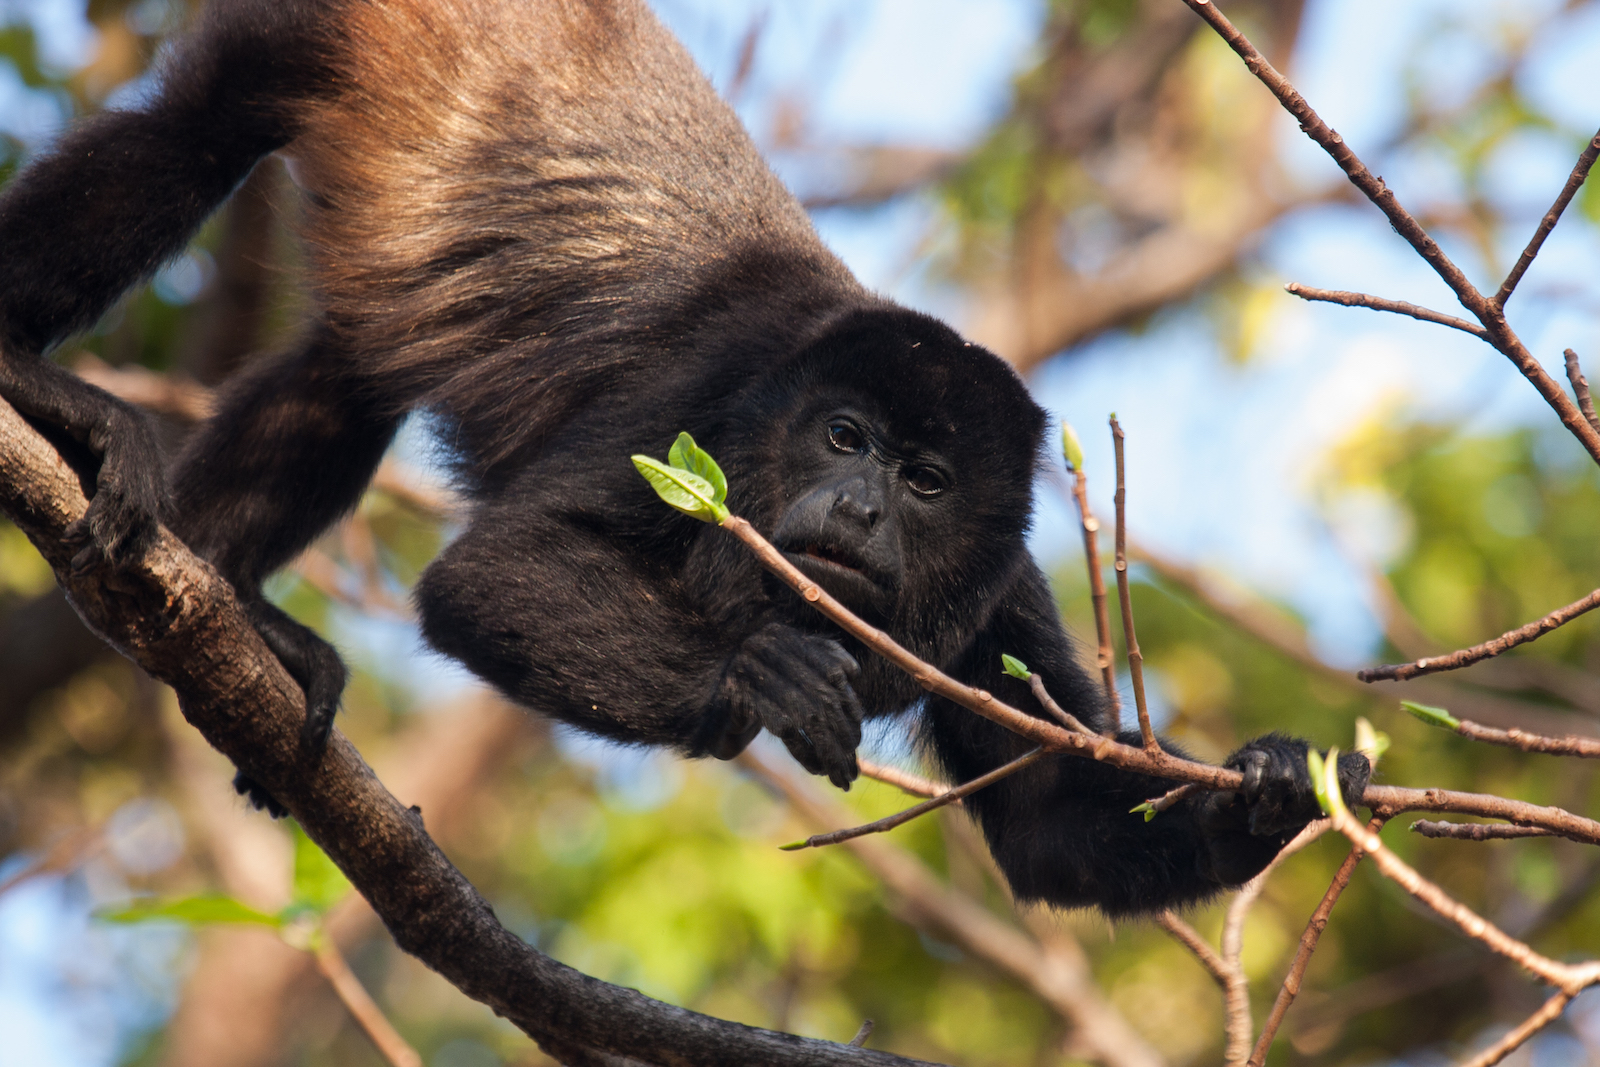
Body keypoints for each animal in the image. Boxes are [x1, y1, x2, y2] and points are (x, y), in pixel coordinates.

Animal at [0, 0, 1368, 915]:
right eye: (844, 437)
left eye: (926, 480)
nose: (855, 506)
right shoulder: (699, 403)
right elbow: (488, 575)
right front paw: (751, 675)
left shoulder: (999, 590)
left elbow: (1053, 821)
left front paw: (1283, 783)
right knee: (189, 132)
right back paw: (35, 385)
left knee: (350, 369)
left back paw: (224, 607)